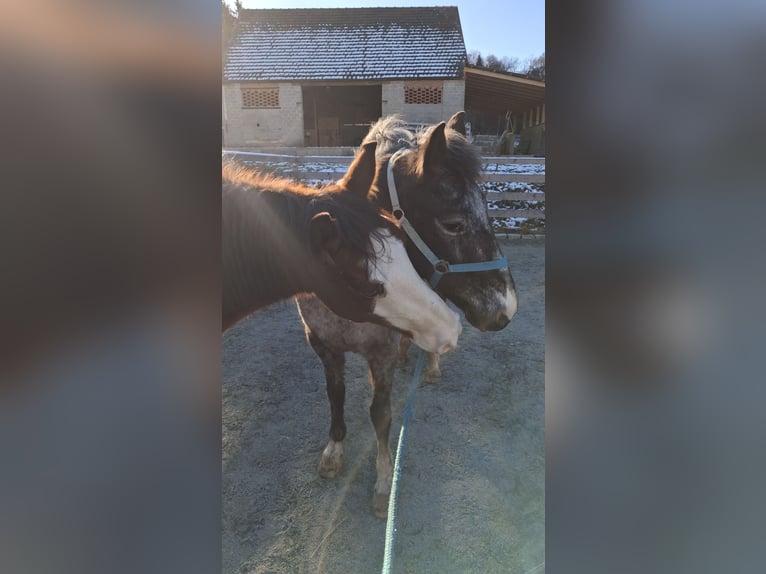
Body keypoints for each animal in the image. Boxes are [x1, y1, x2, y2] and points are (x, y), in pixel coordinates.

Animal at [296, 112, 518, 516]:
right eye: (453, 223)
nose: (505, 309)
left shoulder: (378, 355)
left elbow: (380, 413)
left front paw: (384, 481)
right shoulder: (324, 346)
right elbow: (335, 396)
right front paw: (334, 451)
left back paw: (429, 366)